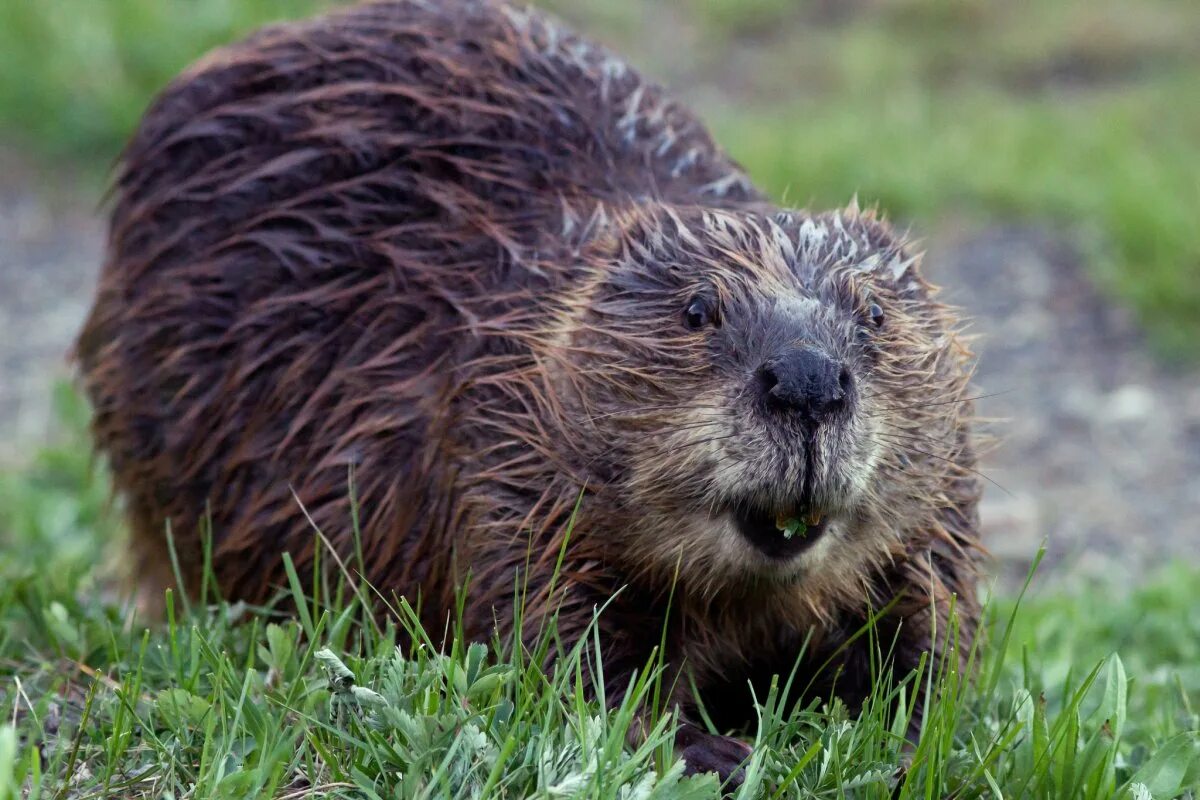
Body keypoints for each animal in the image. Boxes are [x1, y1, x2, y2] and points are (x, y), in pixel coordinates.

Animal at [79, 0, 984, 782]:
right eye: (698, 309)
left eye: (875, 312)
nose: (806, 381)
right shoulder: (496, 451)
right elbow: (552, 637)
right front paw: (711, 750)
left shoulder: (942, 501)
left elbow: (934, 623)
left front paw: (908, 740)